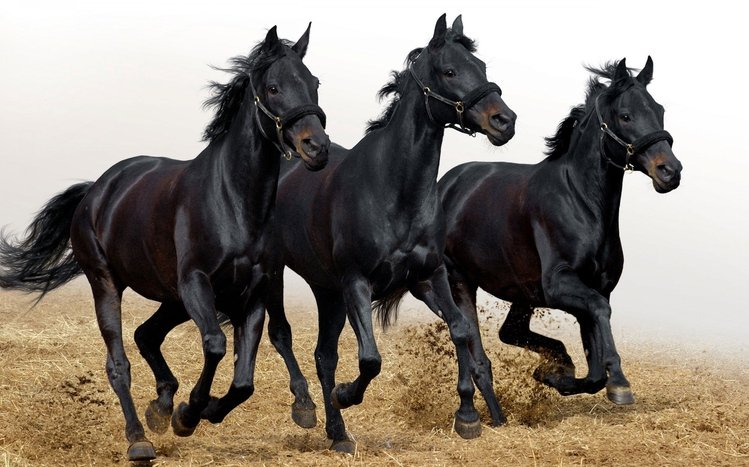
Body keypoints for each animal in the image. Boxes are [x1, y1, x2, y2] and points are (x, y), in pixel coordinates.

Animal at [0, 25, 329, 461]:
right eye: (273, 87)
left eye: (314, 83)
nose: (317, 148)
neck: (233, 202)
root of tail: (97, 190)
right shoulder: (196, 284)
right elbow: (215, 345)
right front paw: (189, 413)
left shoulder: (254, 292)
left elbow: (244, 380)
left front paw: (201, 410)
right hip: (108, 284)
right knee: (119, 362)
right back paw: (139, 438)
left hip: (171, 299)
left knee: (146, 335)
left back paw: (160, 406)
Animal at [265, 15, 516, 453]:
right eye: (450, 71)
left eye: (481, 67)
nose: (505, 121)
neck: (394, 191)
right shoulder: (357, 284)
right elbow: (370, 359)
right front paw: (346, 394)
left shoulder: (429, 276)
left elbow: (461, 330)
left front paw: (468, 416)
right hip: (280, 273)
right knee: (283, 336)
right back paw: (307, 408)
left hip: (327, 291)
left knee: (324, 356)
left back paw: (338, 434)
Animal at [437, 57, 682, 407]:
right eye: (625, 115)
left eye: (659, 110)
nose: (670, 171)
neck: (580, 202)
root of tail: (446, 184)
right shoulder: (560, 285)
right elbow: (600, 312)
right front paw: (619, 383)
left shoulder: (594, 288)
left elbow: (594, 368)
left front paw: (555, 376)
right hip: (460, 280)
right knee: (473, 339)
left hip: (522, 292)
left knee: (509, 332)